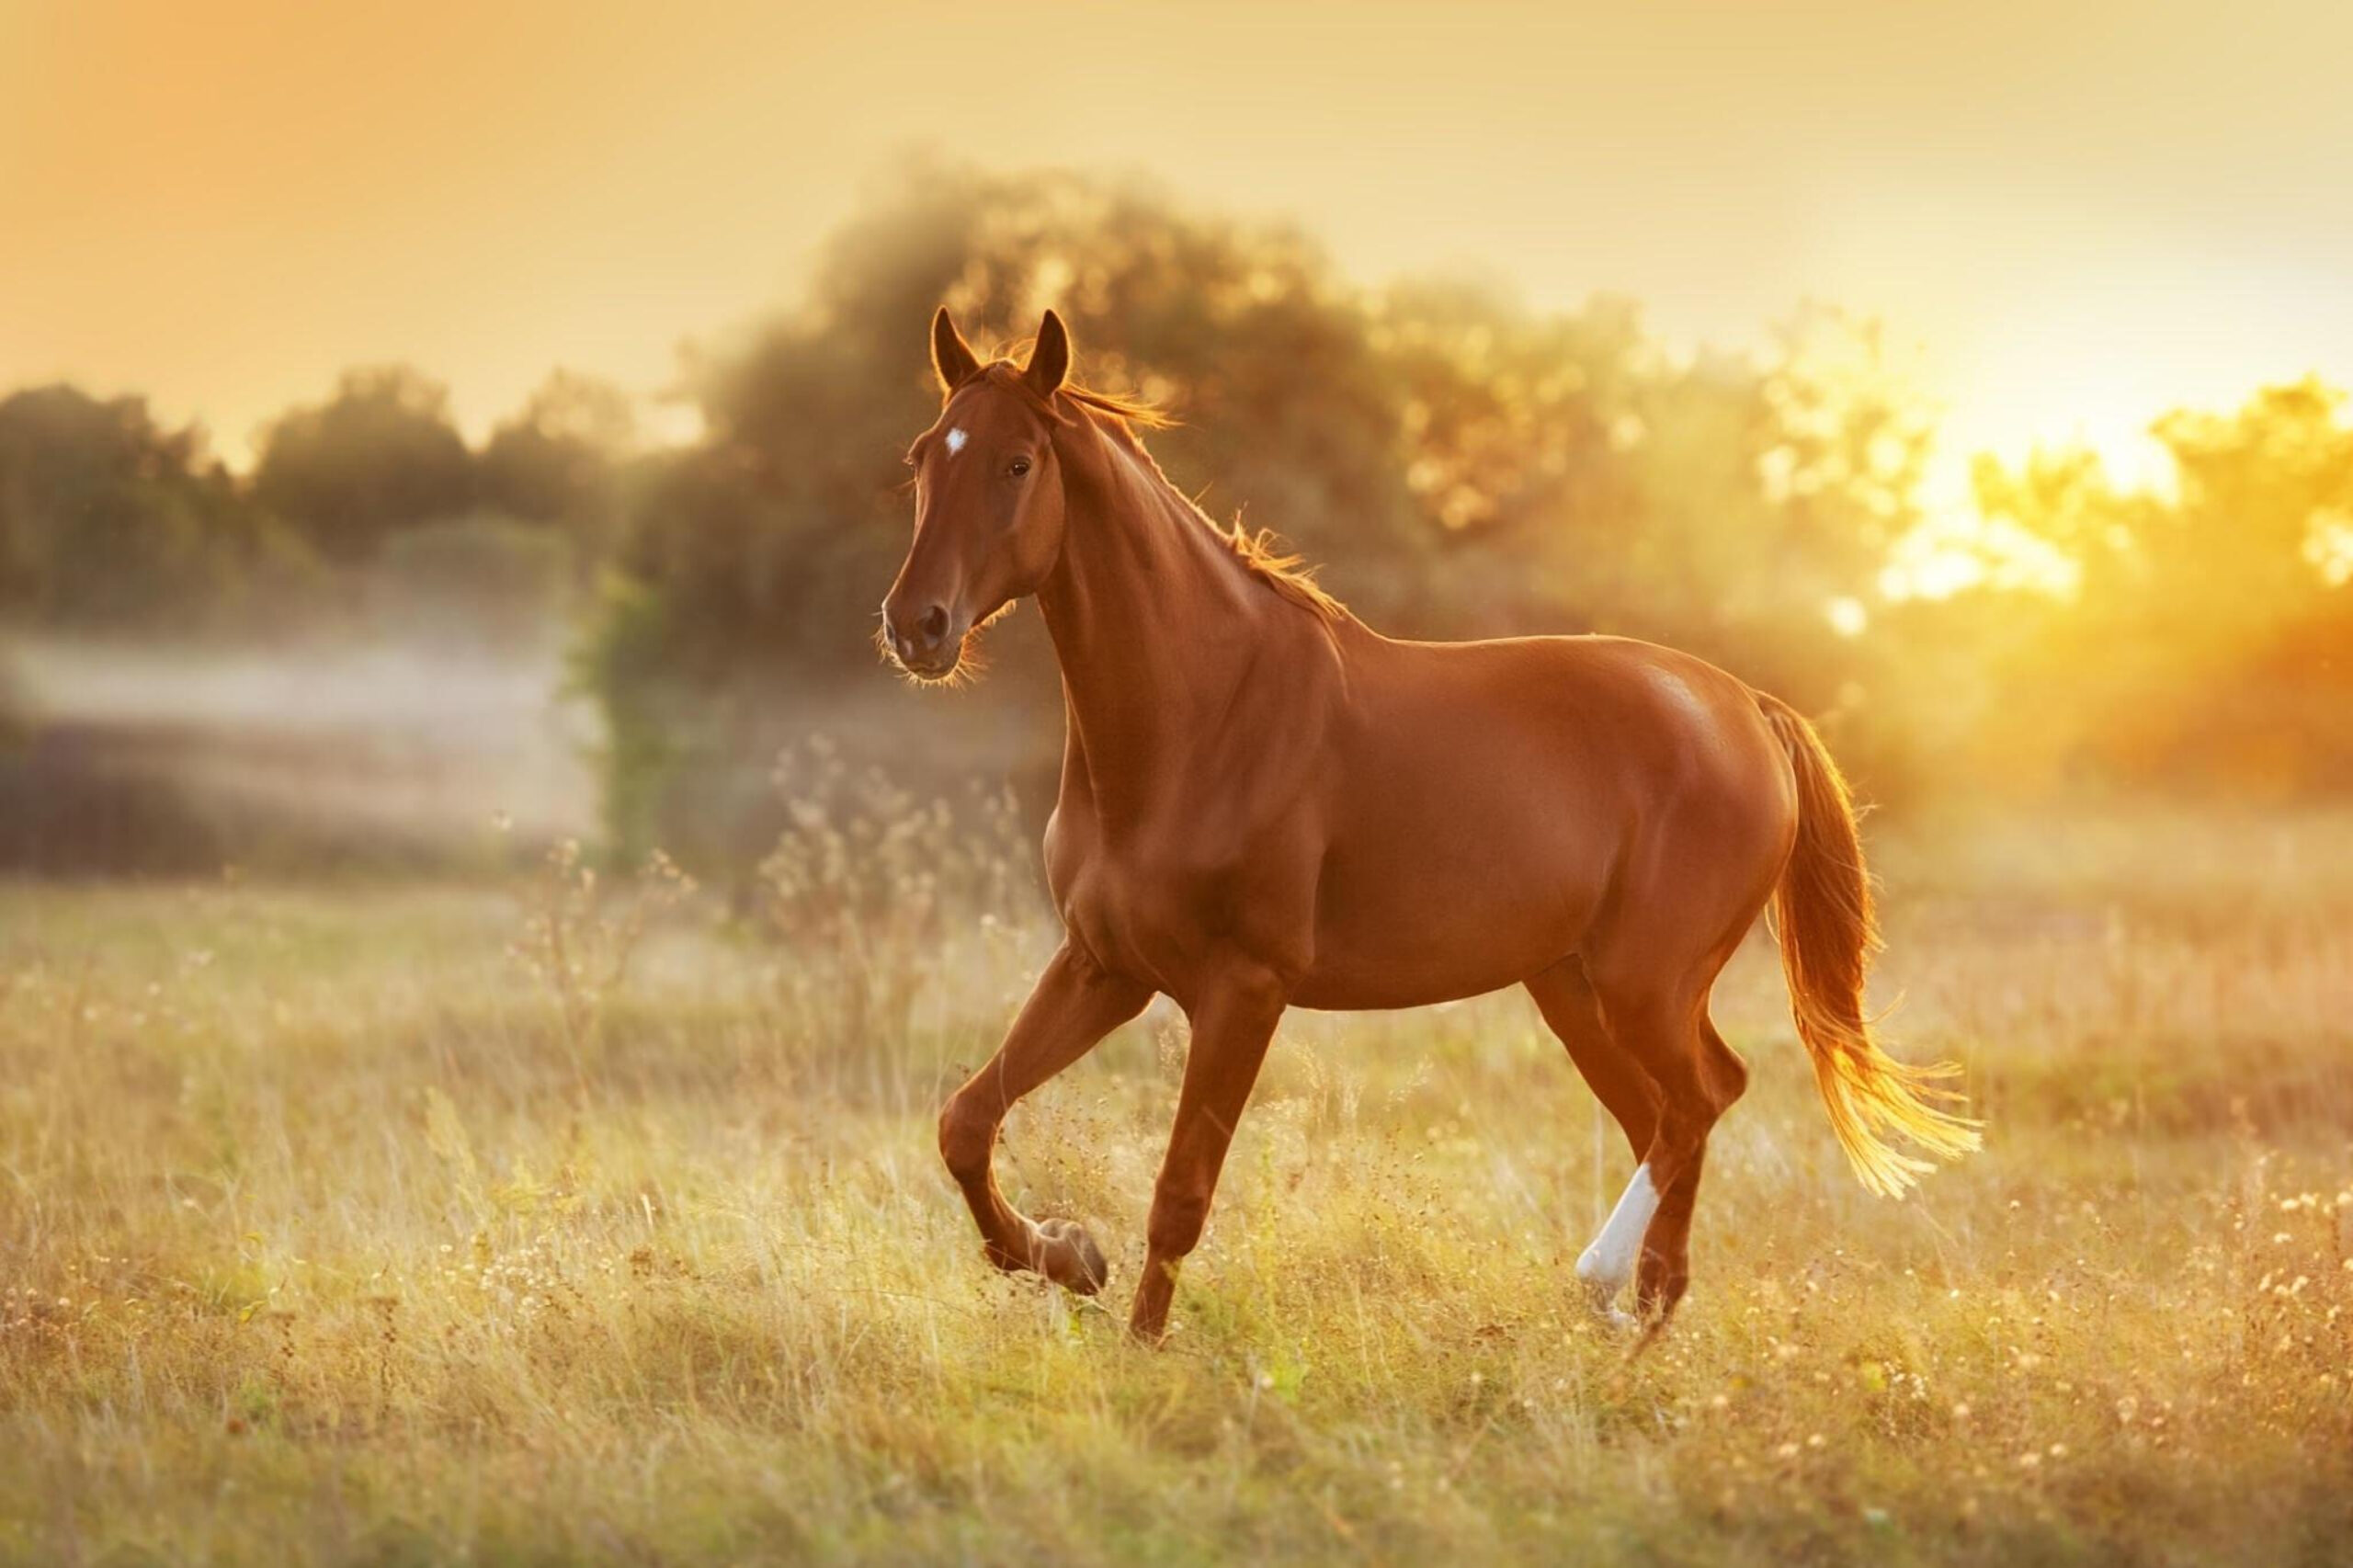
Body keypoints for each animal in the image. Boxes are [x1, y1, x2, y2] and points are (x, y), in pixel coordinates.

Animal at [880, 311, 1967, 1336]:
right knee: (1667, 1116)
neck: (1203, 713)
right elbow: (965, 1122)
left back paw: (1605, 1284)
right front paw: (1065, 1254)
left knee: (1700, 1098)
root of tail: (1746, 708)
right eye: (924, 453)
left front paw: (1141, 1350)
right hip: (1575, 989)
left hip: (1642, 985)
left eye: (1019, 462)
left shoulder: (1243, 990)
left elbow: (1179, 1196)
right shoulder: (1104, 966)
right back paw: (1640, 1314)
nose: (915, 625)